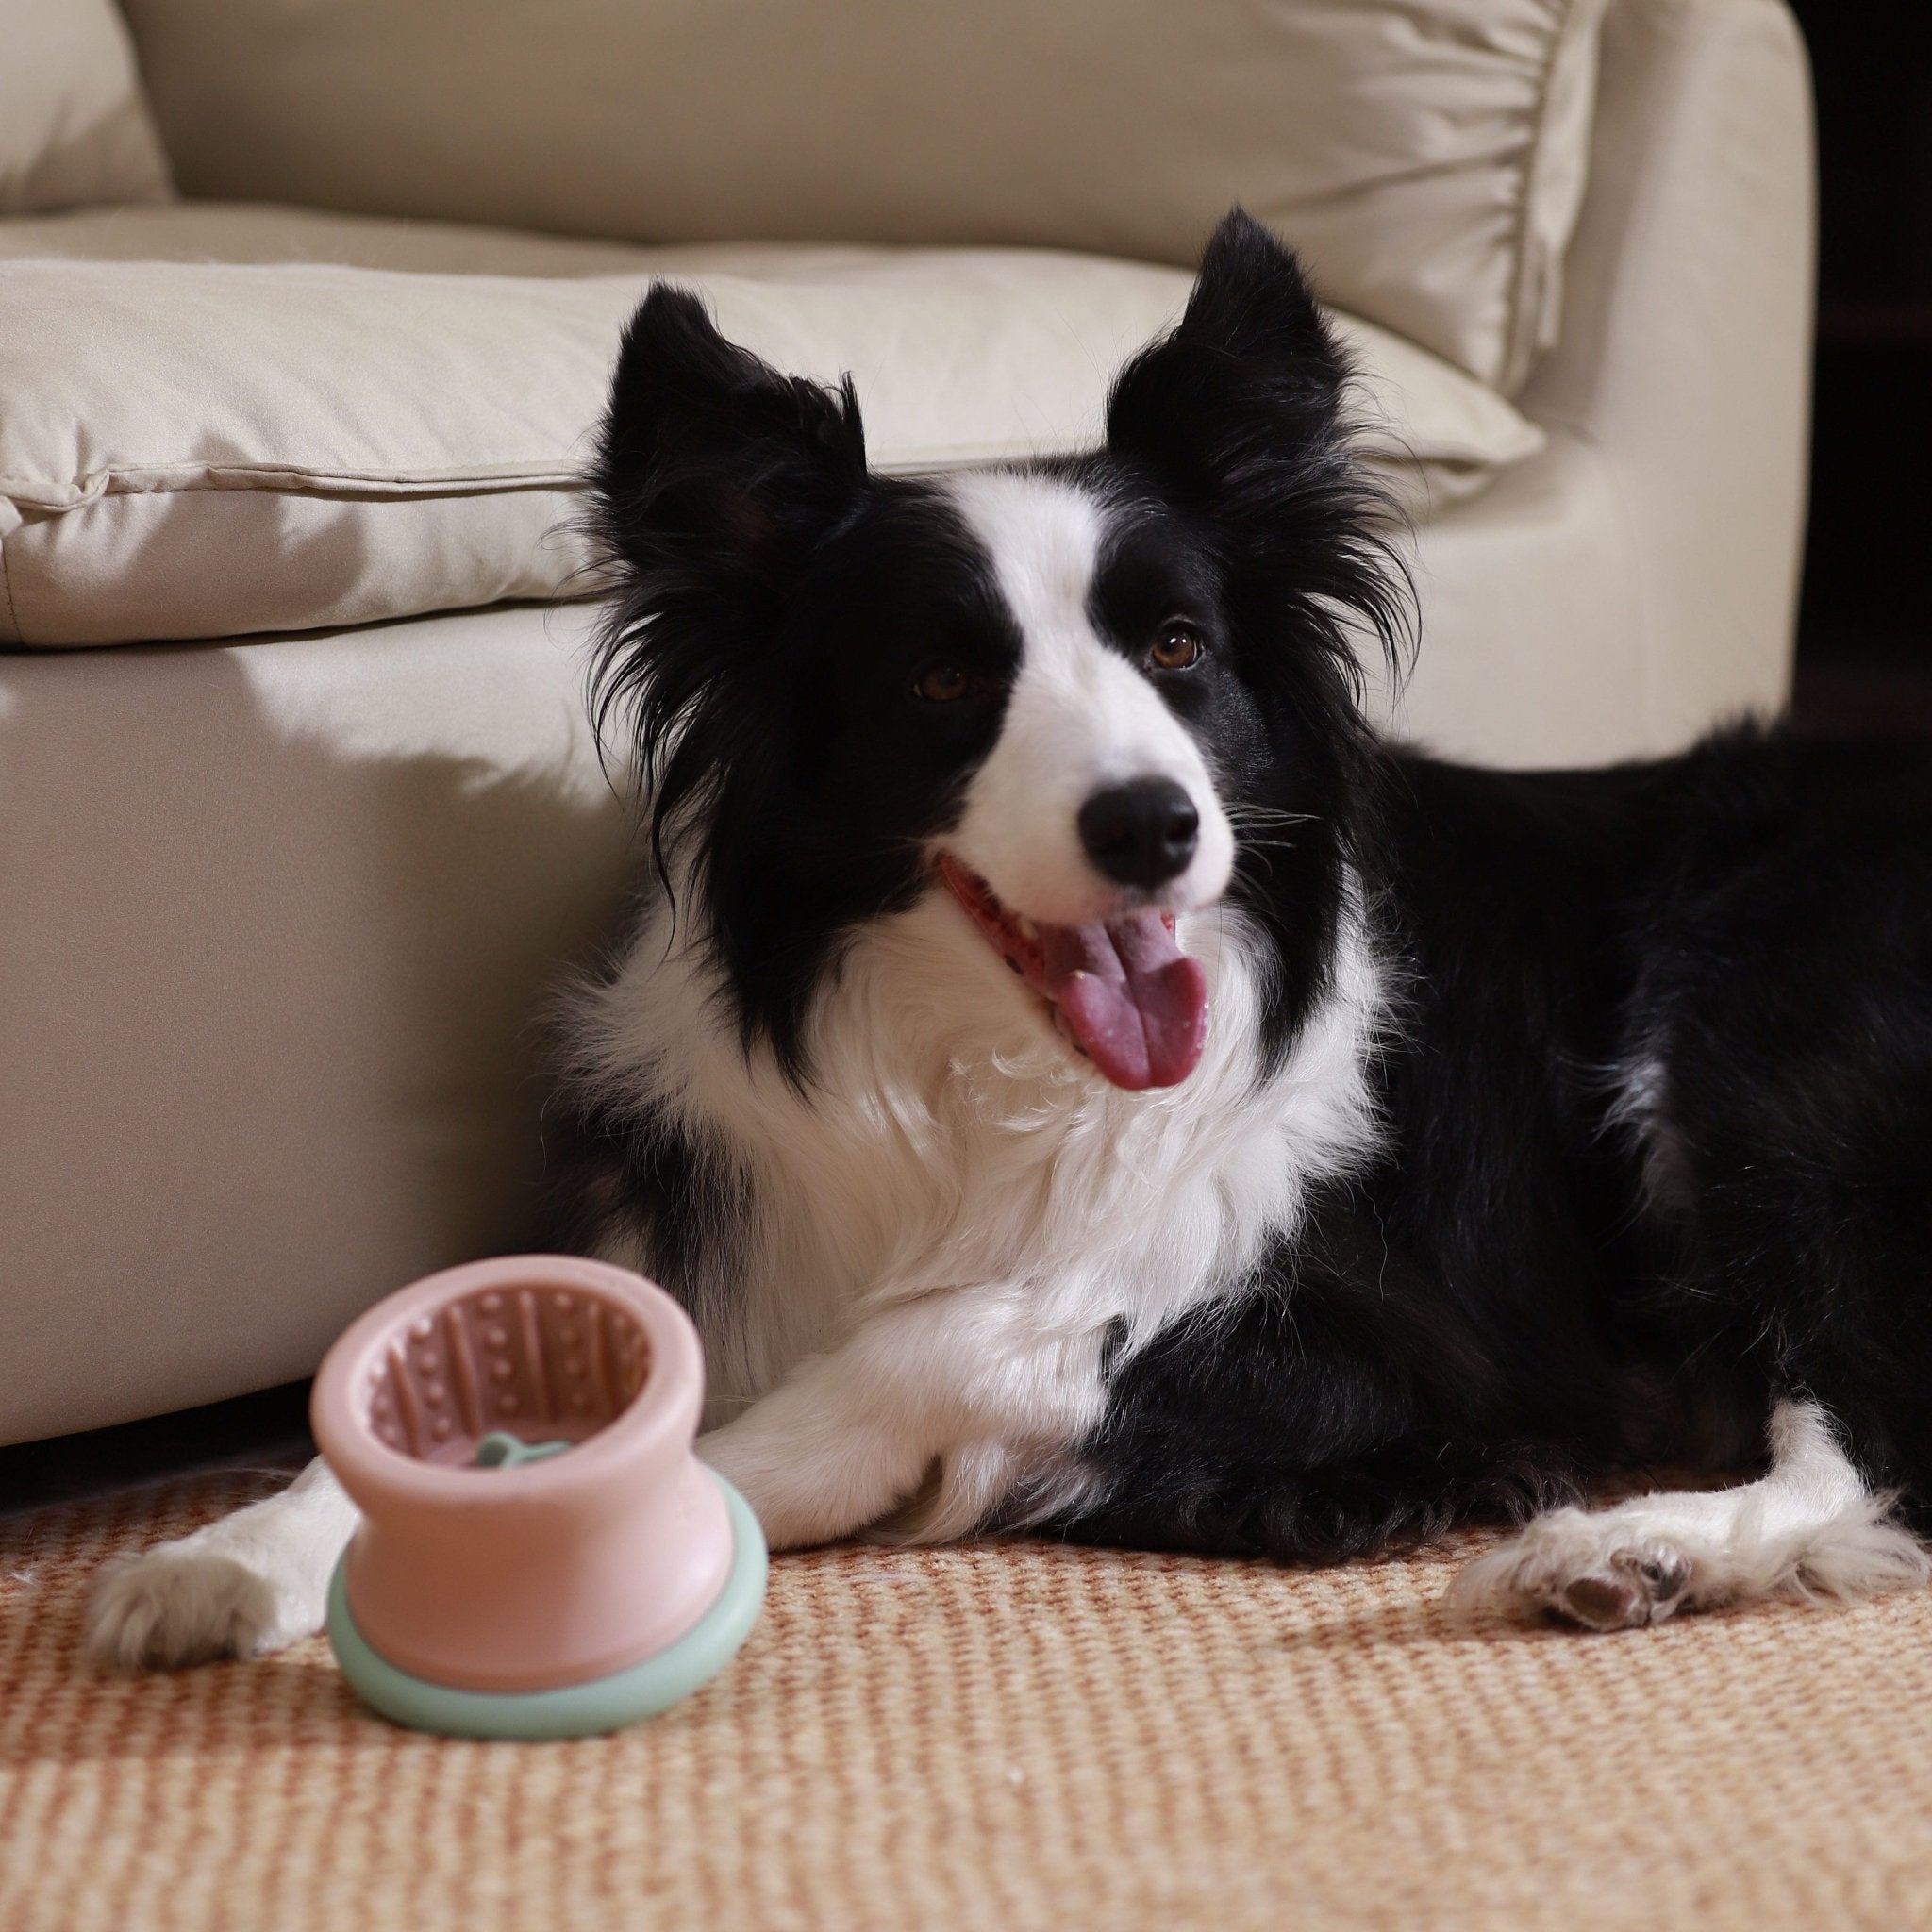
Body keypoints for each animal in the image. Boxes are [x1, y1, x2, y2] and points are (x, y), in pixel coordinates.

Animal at [91, 208, 1932, 1661]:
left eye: (1178, 645)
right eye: (939, 679)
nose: (1154, 826)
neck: (981, 1073)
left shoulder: (1398, 1355)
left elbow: (954, 1337)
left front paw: (699, 1480)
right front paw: (228, 1552)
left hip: (1738, 1041)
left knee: (1872, 1422)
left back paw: (1639, 1547)